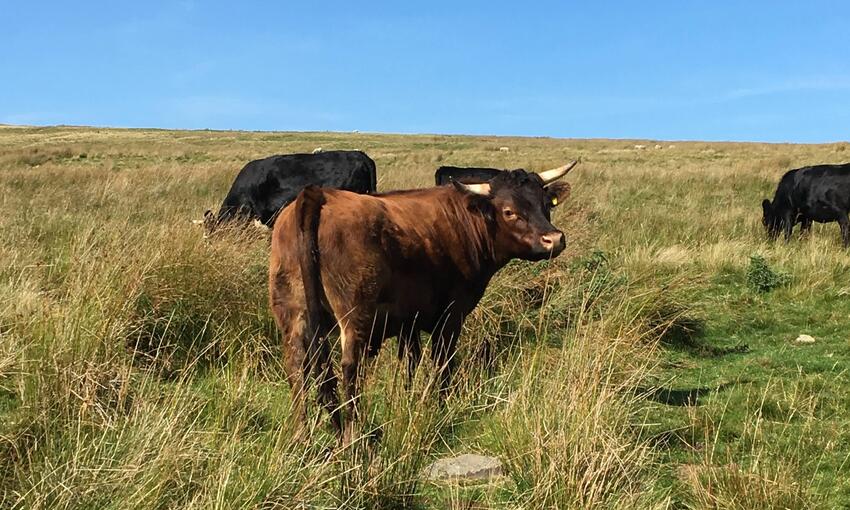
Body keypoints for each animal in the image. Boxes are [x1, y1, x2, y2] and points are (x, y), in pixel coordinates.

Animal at [268, 162, 577, 443]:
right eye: (509, 211)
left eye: (545, 205)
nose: (554, 239)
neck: (466, 221)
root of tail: (317, 194)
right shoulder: (450, 316)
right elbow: (442, 363)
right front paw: (440, 406)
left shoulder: (408, 322)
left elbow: (410, 363)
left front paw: (408, 401)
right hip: (355, 316)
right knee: (349, 369)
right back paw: (353, 436)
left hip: (292, 314)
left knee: (297, 367)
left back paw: (301, 436)